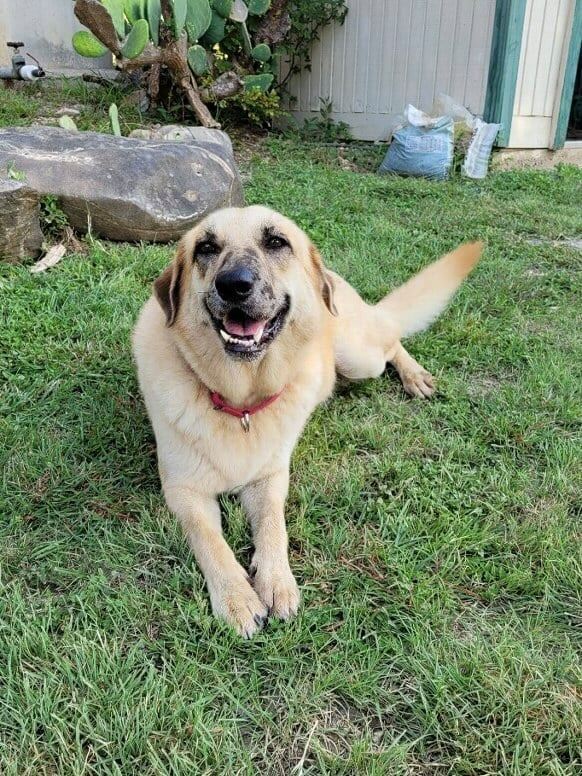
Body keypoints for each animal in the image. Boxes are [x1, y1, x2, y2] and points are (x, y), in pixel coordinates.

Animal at [133, 205, 484, 636]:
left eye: (276, 242)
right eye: (207, 247)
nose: (234, 285)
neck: (241, 403)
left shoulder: (269, 478)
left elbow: (273, 526)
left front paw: (276, 581)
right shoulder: (183, 490)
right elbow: (211, 542)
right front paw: (237, 598)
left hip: (358, 355)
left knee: (391, 339)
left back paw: (413, 374)